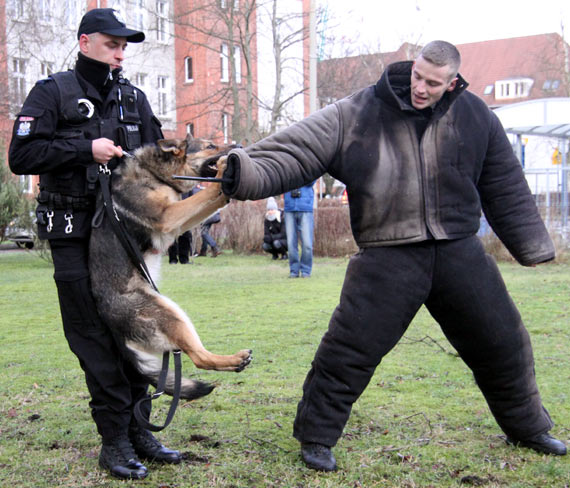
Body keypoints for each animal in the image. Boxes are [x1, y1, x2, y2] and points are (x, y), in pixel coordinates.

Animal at [89, 136, 251, 400]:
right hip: (171, 315)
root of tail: (114, 328)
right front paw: (224, 170)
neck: (154, 173)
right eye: (210, 146)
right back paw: (235, 359)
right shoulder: (168, 216)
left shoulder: (178, 222)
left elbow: (211, 200)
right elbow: (206, 193)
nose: (240, 147)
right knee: (199, 357)